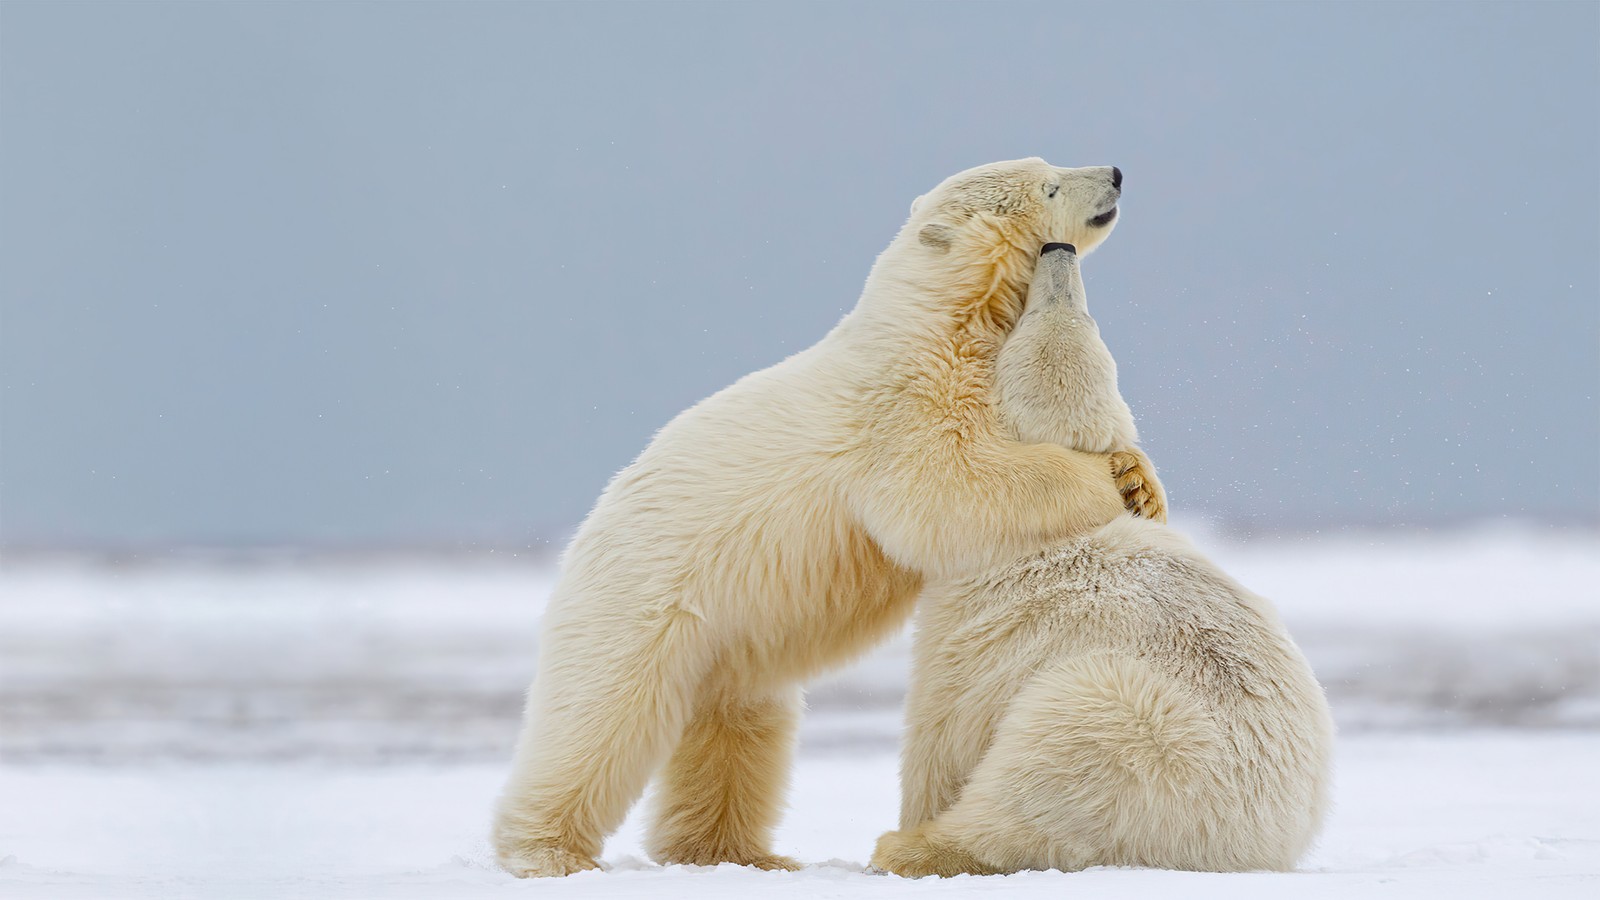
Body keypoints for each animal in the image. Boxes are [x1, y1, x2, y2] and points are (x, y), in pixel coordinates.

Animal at [492, 157, 1158, 871]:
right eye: (1049, 184)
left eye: (1050, 165)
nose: (1116, 172)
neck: (936, 320)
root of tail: (587, 530)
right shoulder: (902, 402)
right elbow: (946, 486)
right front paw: (1102, 482)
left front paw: (1141, 483)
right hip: (641, 600)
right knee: (601, 714)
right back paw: (547, 851)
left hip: (731, 638)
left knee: (741, 723)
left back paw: (737, 852)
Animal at [870, 241, 1331, 871]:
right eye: (1088, 318)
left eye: (1029, 323)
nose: (1057, 248)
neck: (1060, 529)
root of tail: (1256, 841)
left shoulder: (971, 625)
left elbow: (941, 729)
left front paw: (911, 820)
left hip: (1129, 729)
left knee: (1043, 775)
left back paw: (911, 848)